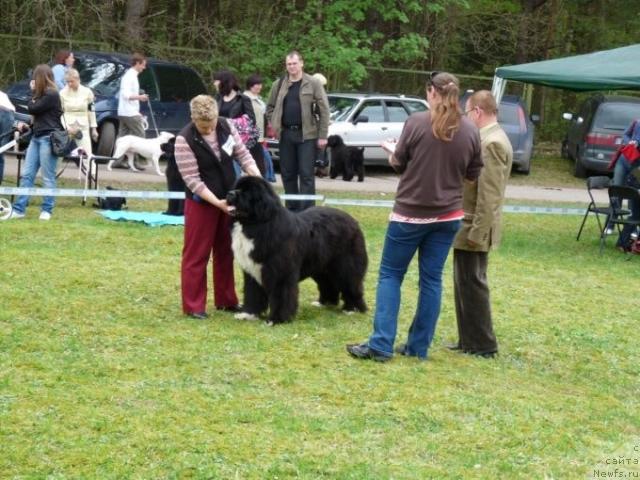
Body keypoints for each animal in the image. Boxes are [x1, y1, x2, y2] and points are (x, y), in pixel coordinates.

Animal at [226, 176, 368, 326]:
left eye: (247, 192)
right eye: (236, 187)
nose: (229, 193)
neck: (257, 224)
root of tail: (353, 221)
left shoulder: (281, 272)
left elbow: (281, 295)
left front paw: (277, 319)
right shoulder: (252, 271)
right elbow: (252, 293)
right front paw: (248, 314)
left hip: (345, 266)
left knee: (352, 284)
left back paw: (353, 309)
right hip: (321, 266)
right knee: (328, 283)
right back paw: (324, 303)